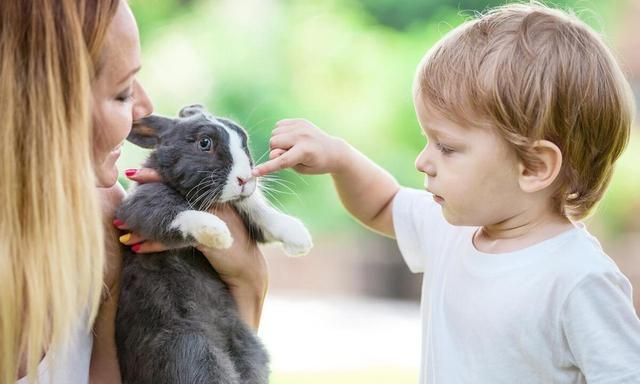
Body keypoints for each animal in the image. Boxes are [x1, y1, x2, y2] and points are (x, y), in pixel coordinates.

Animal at [115, 104, 316, 384]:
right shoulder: (140, 206)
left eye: (244, 141)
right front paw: (219, 234)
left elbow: (256, 209)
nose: (245, 179)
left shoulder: (245, 211)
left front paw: (299, 238)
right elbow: (175, 212)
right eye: (204, 143)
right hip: (191, 351)